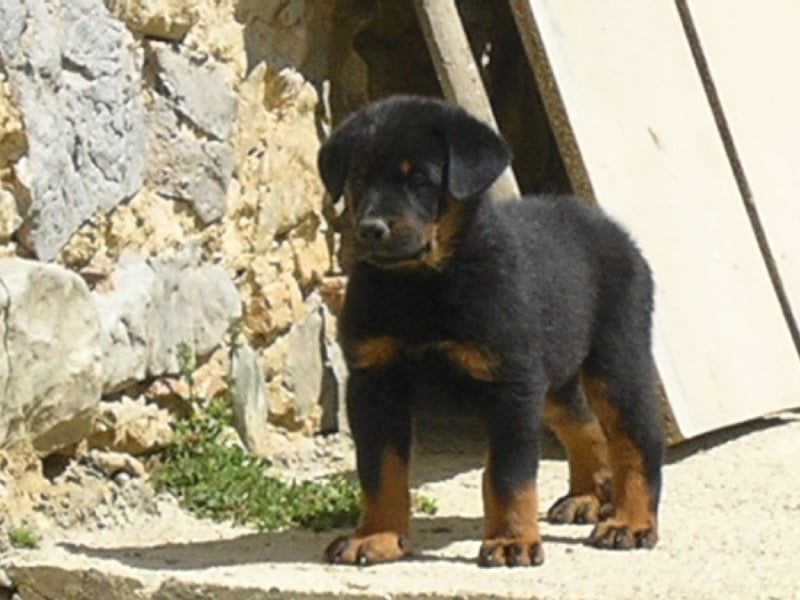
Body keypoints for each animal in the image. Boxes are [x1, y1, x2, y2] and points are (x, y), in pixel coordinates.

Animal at [318, 94, 664, 568]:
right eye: (358, 179)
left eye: (420, 180)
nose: (371, 229)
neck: (422, 286)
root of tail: (608, 226)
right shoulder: (373, 382)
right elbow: (379, 469)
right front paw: (377, 535)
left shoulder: (510, 386)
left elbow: (508, 474)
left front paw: (510, 541)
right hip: (552, 372)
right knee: (583, 424)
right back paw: (586, 498)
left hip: (616, 358)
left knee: (636, 439)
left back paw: (630, 523)